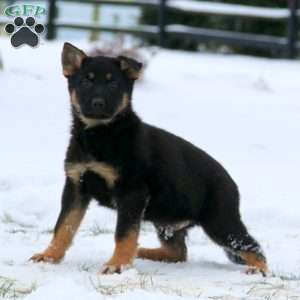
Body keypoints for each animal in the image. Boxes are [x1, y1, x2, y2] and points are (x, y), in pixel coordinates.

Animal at [30, 43, 266, 276]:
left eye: (113, 83)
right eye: (86, 81)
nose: (98, 103)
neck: (100, 134)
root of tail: (231, 183)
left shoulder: (132, 193)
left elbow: (124, 233)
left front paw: (117, 265)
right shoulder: (75, 186)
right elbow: (64, 226)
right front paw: (49, 256)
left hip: (220, 222)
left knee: (253, 247)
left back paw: (259, 270)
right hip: (167, 223)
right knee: (178, 252)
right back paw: (144, 252)